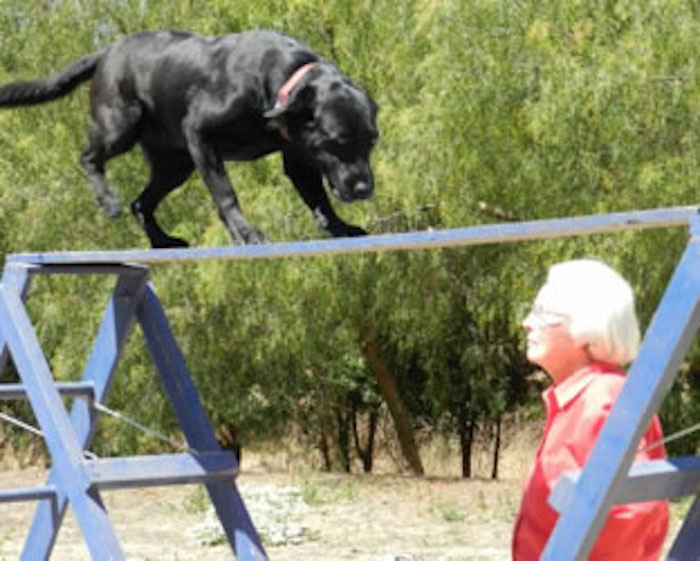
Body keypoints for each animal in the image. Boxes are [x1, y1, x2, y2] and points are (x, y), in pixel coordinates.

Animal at [0, 29, 378, 246]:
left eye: (372, 140)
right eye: (336, 142)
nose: (364, 189)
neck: (278, 80)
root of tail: (106, 52)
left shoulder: (299, 159)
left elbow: (320, 199)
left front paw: (340, 227)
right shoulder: (199, 134)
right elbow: (226, 194)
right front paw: (246, 233)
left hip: (175, 166)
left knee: (141, 204)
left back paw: (162, 241)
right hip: (120, 126)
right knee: (89, 158)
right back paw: (108, 201)